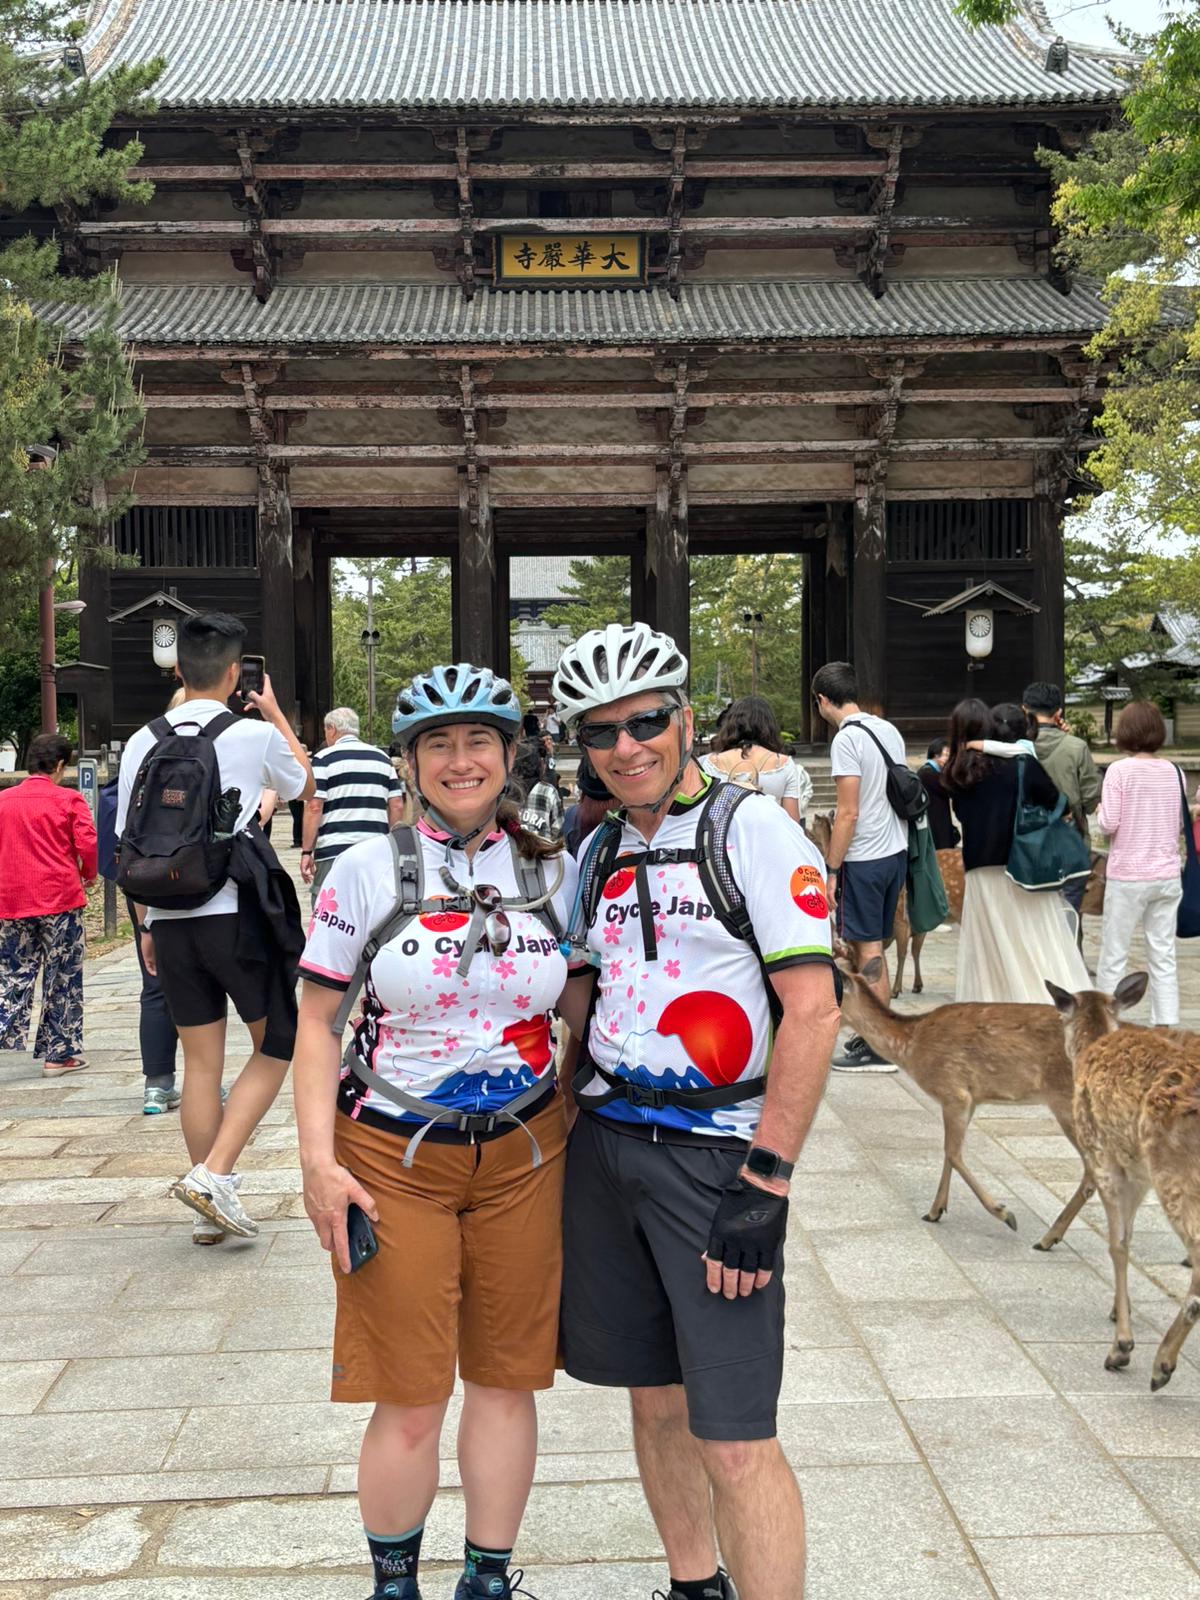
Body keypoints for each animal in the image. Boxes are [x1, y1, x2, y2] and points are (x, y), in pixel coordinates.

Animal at [838, 947, 1094, 1248]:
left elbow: (953, 1153)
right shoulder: (970, 1098)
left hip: (1067, 1103)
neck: (912, 1046)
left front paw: (1005, 1213)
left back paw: (1048, 1238)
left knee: (1095, 1171)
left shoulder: (953, 1091)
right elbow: (949, 1154)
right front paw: (934, 1211)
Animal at [1043, 972, 1200, 1388]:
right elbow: (1123, 1239)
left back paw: (1162, 1363)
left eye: (1060, 1016)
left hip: (1176, 1172)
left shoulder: (1106, 1157)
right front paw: (1118, 1312)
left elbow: (1117, 1245)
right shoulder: (1137, 1172)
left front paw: (1122, 1345)